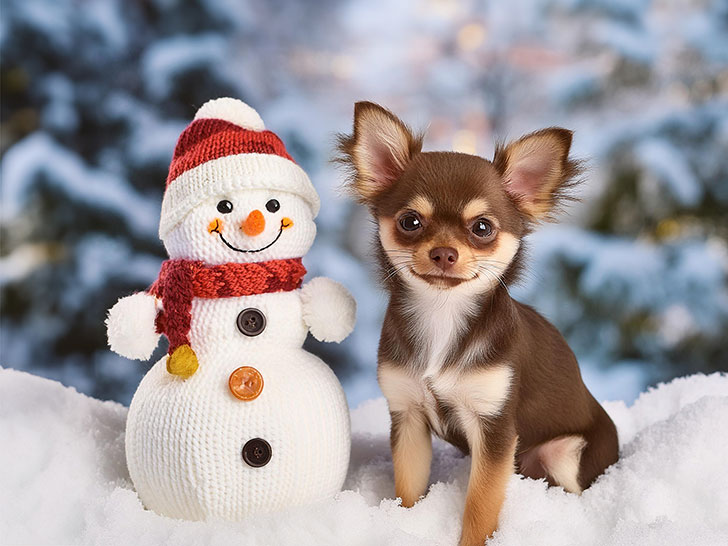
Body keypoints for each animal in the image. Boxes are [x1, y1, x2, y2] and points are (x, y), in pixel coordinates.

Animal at [338, 103, 616, 544]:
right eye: (410, 221)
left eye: (482, 228)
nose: (444, 253)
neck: (442, 314)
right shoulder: (408, 418)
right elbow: (408, 489)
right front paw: (405, 525)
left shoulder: (495, 429)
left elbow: (481, 504)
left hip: (565, 452)